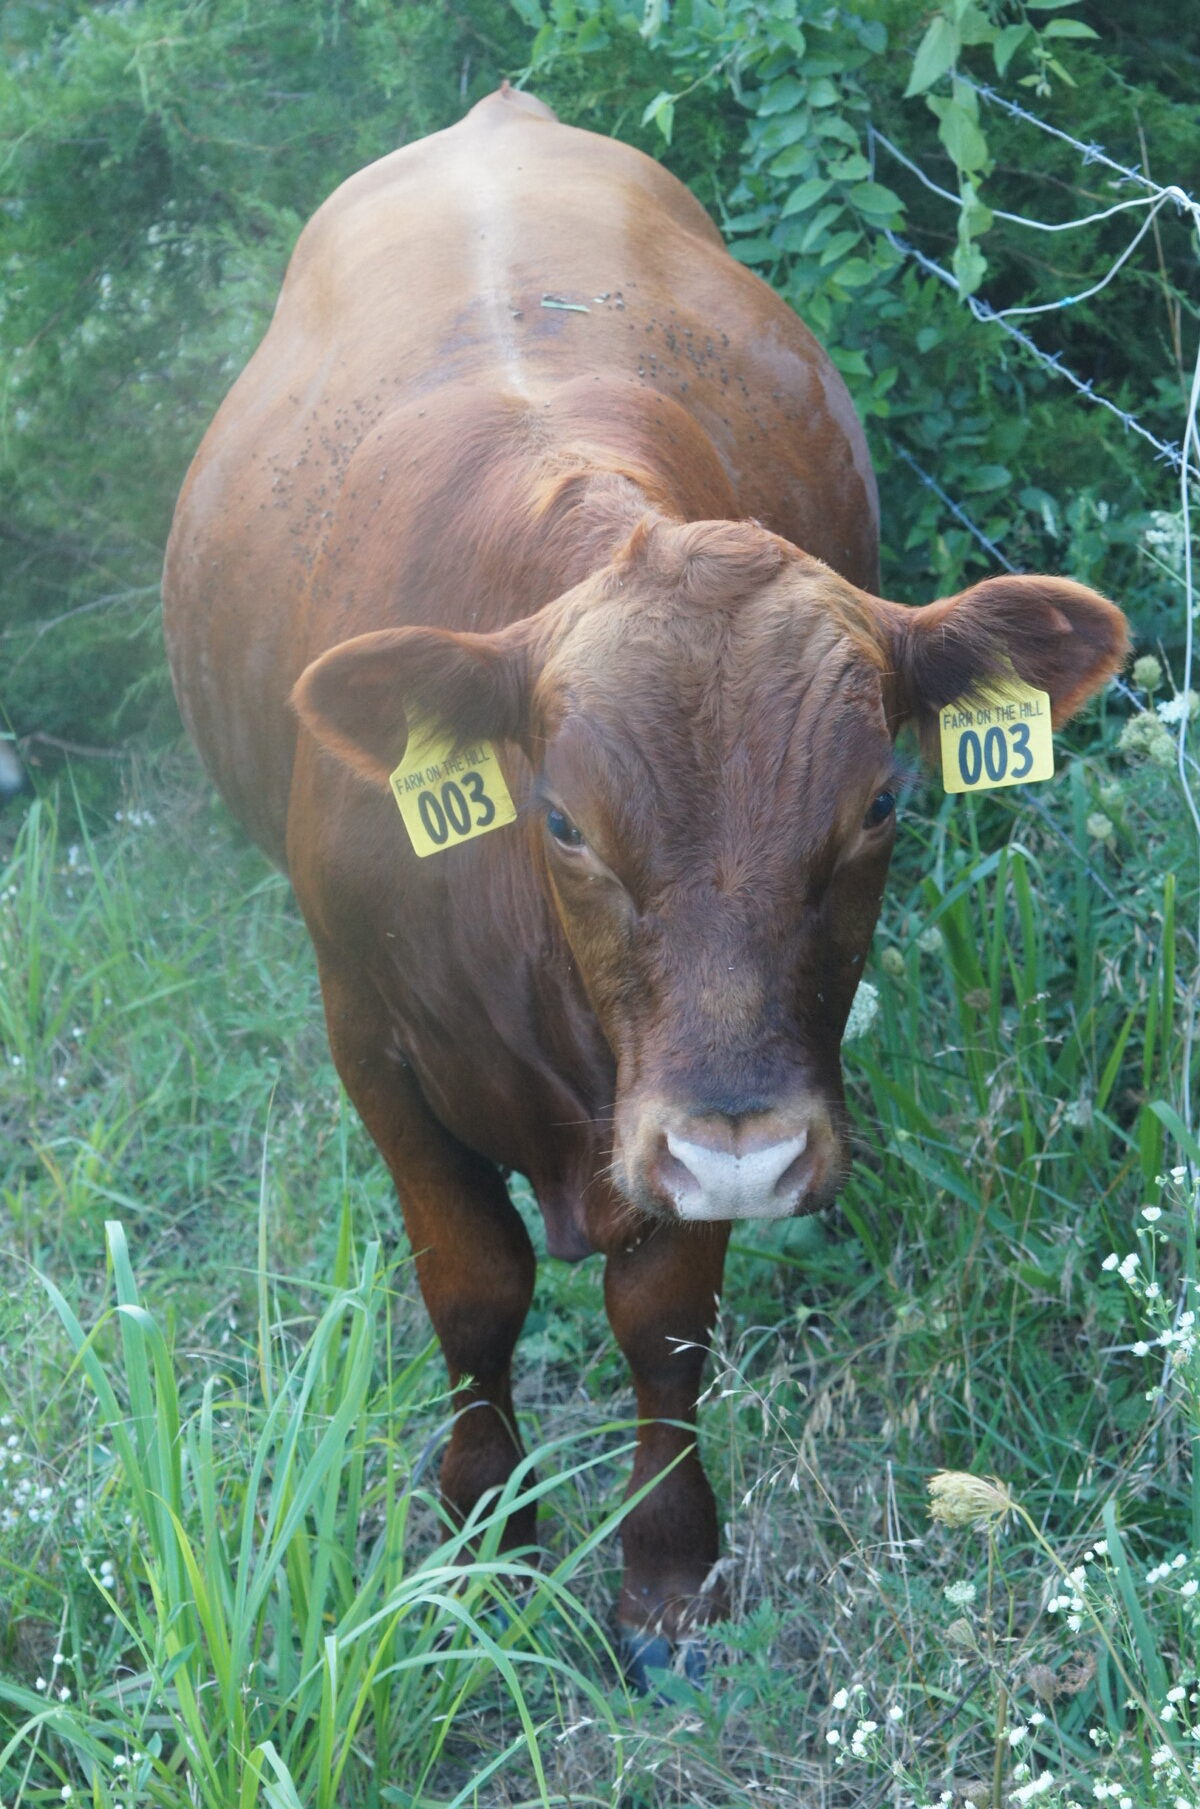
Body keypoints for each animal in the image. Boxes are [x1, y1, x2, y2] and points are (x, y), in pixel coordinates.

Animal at [163, 85, 1127, 1681]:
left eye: (880, 800)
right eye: (559, 818)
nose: (742, 1150)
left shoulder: (709, 1101)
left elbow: (664, 1318)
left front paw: (669, 1576)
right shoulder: (367, 1032)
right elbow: (474, 1287)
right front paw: (484, 1541)